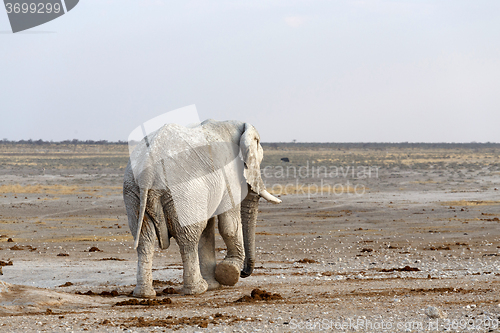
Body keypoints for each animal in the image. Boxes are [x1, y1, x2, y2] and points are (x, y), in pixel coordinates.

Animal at [123, 119, 282, 296]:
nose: (244, 272)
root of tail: (148, 171)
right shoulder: (229, 174)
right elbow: (228, 225)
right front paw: (229, 272)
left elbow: (208, 229)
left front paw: (216, 284)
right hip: (184, 191)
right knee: (187, 237)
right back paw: (197, 289)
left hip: (133, 191)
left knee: (144, 237)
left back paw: (144, 294)